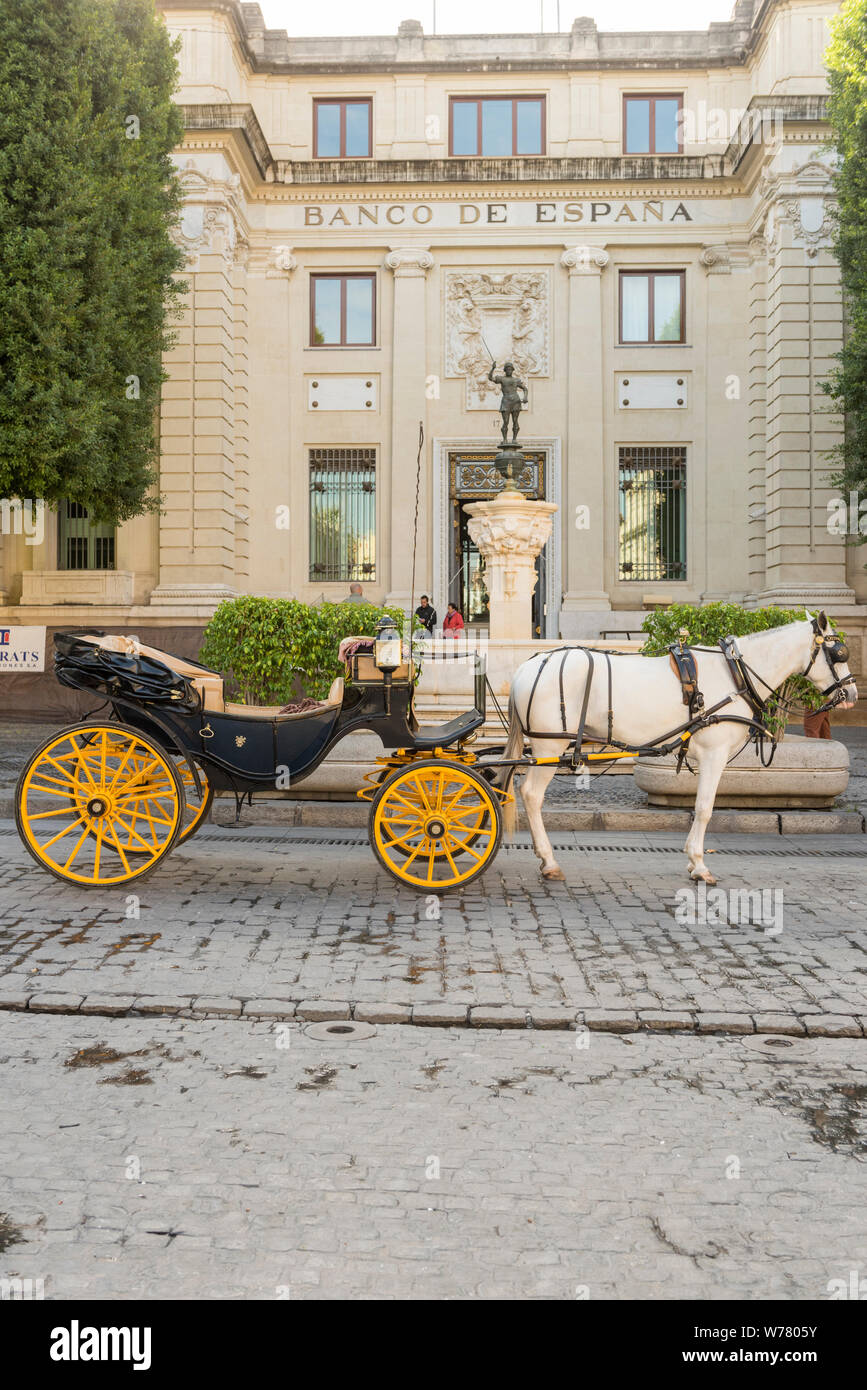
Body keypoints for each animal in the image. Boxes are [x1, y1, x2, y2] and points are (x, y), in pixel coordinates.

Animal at [497, 614, 855, 884]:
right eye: (839, 654)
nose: (851, 693)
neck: (736, 673)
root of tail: (529, 664)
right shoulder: (714, 753)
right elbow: (705, 808)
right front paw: (699, 864)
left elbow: (699, 807)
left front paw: (692, 860)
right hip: (550, 742)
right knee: (531, 795)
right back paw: (548, 860)